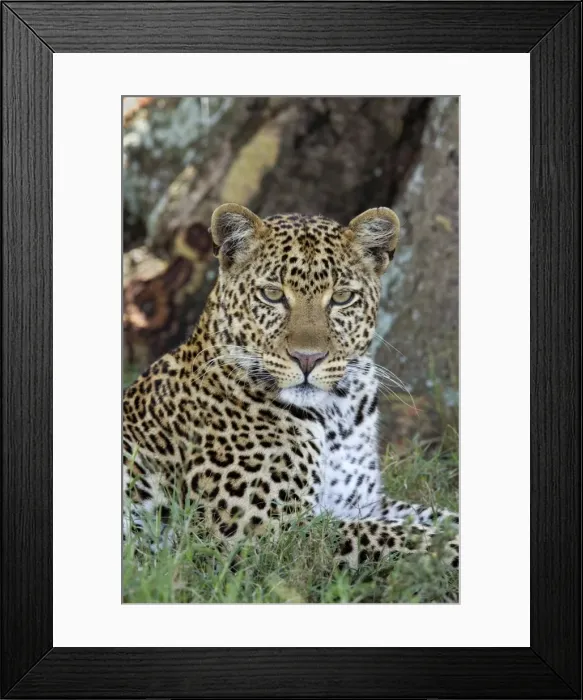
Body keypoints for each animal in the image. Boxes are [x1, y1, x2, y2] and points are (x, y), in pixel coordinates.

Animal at [123, 203, 459, 570]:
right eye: (272, 295)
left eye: (341, 298)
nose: (307, 359)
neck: (338, 413)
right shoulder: (264, 531)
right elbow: (400, 536)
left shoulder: (363, 502)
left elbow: (435, 516)